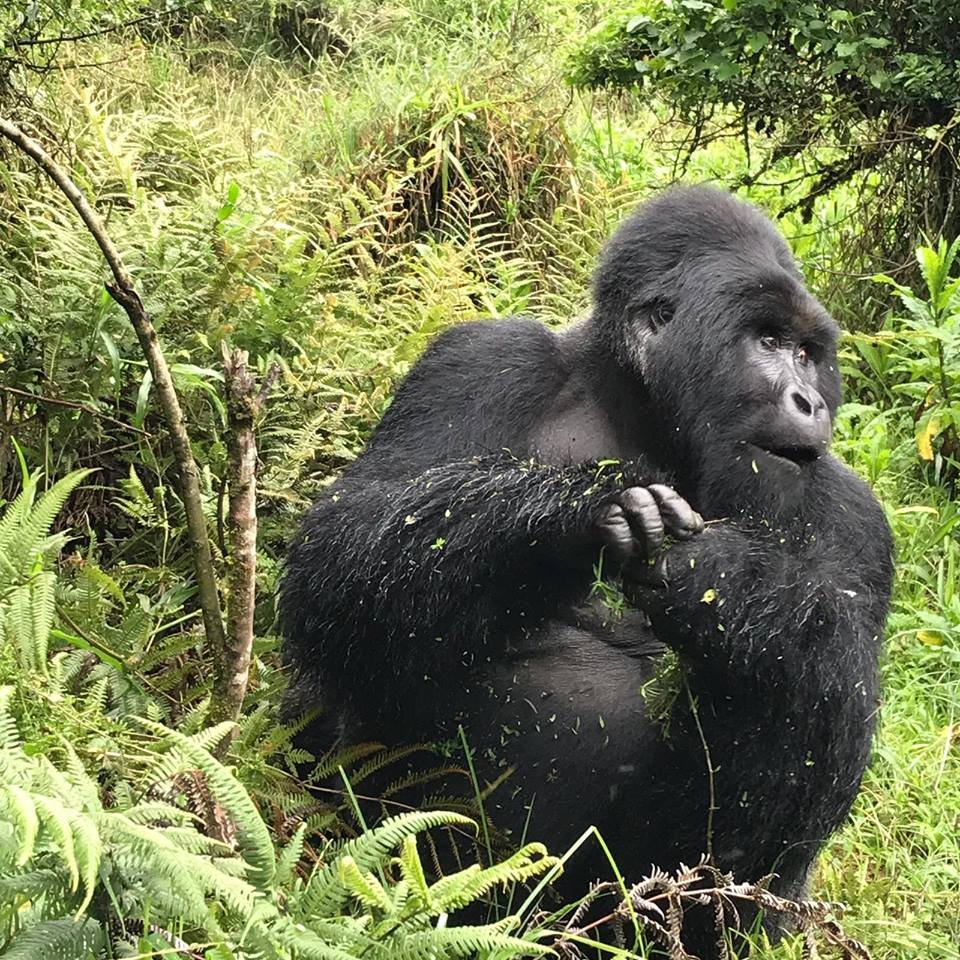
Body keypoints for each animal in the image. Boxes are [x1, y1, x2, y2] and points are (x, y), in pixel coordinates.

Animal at [282, 186, 896, 952]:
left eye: (809, 353)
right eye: (767, 341)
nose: (809, 400)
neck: (646, 413)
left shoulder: (853, 511)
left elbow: (833, 685)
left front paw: (722, 579)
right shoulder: (483, 358)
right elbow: (345, 546)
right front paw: (570, 510)